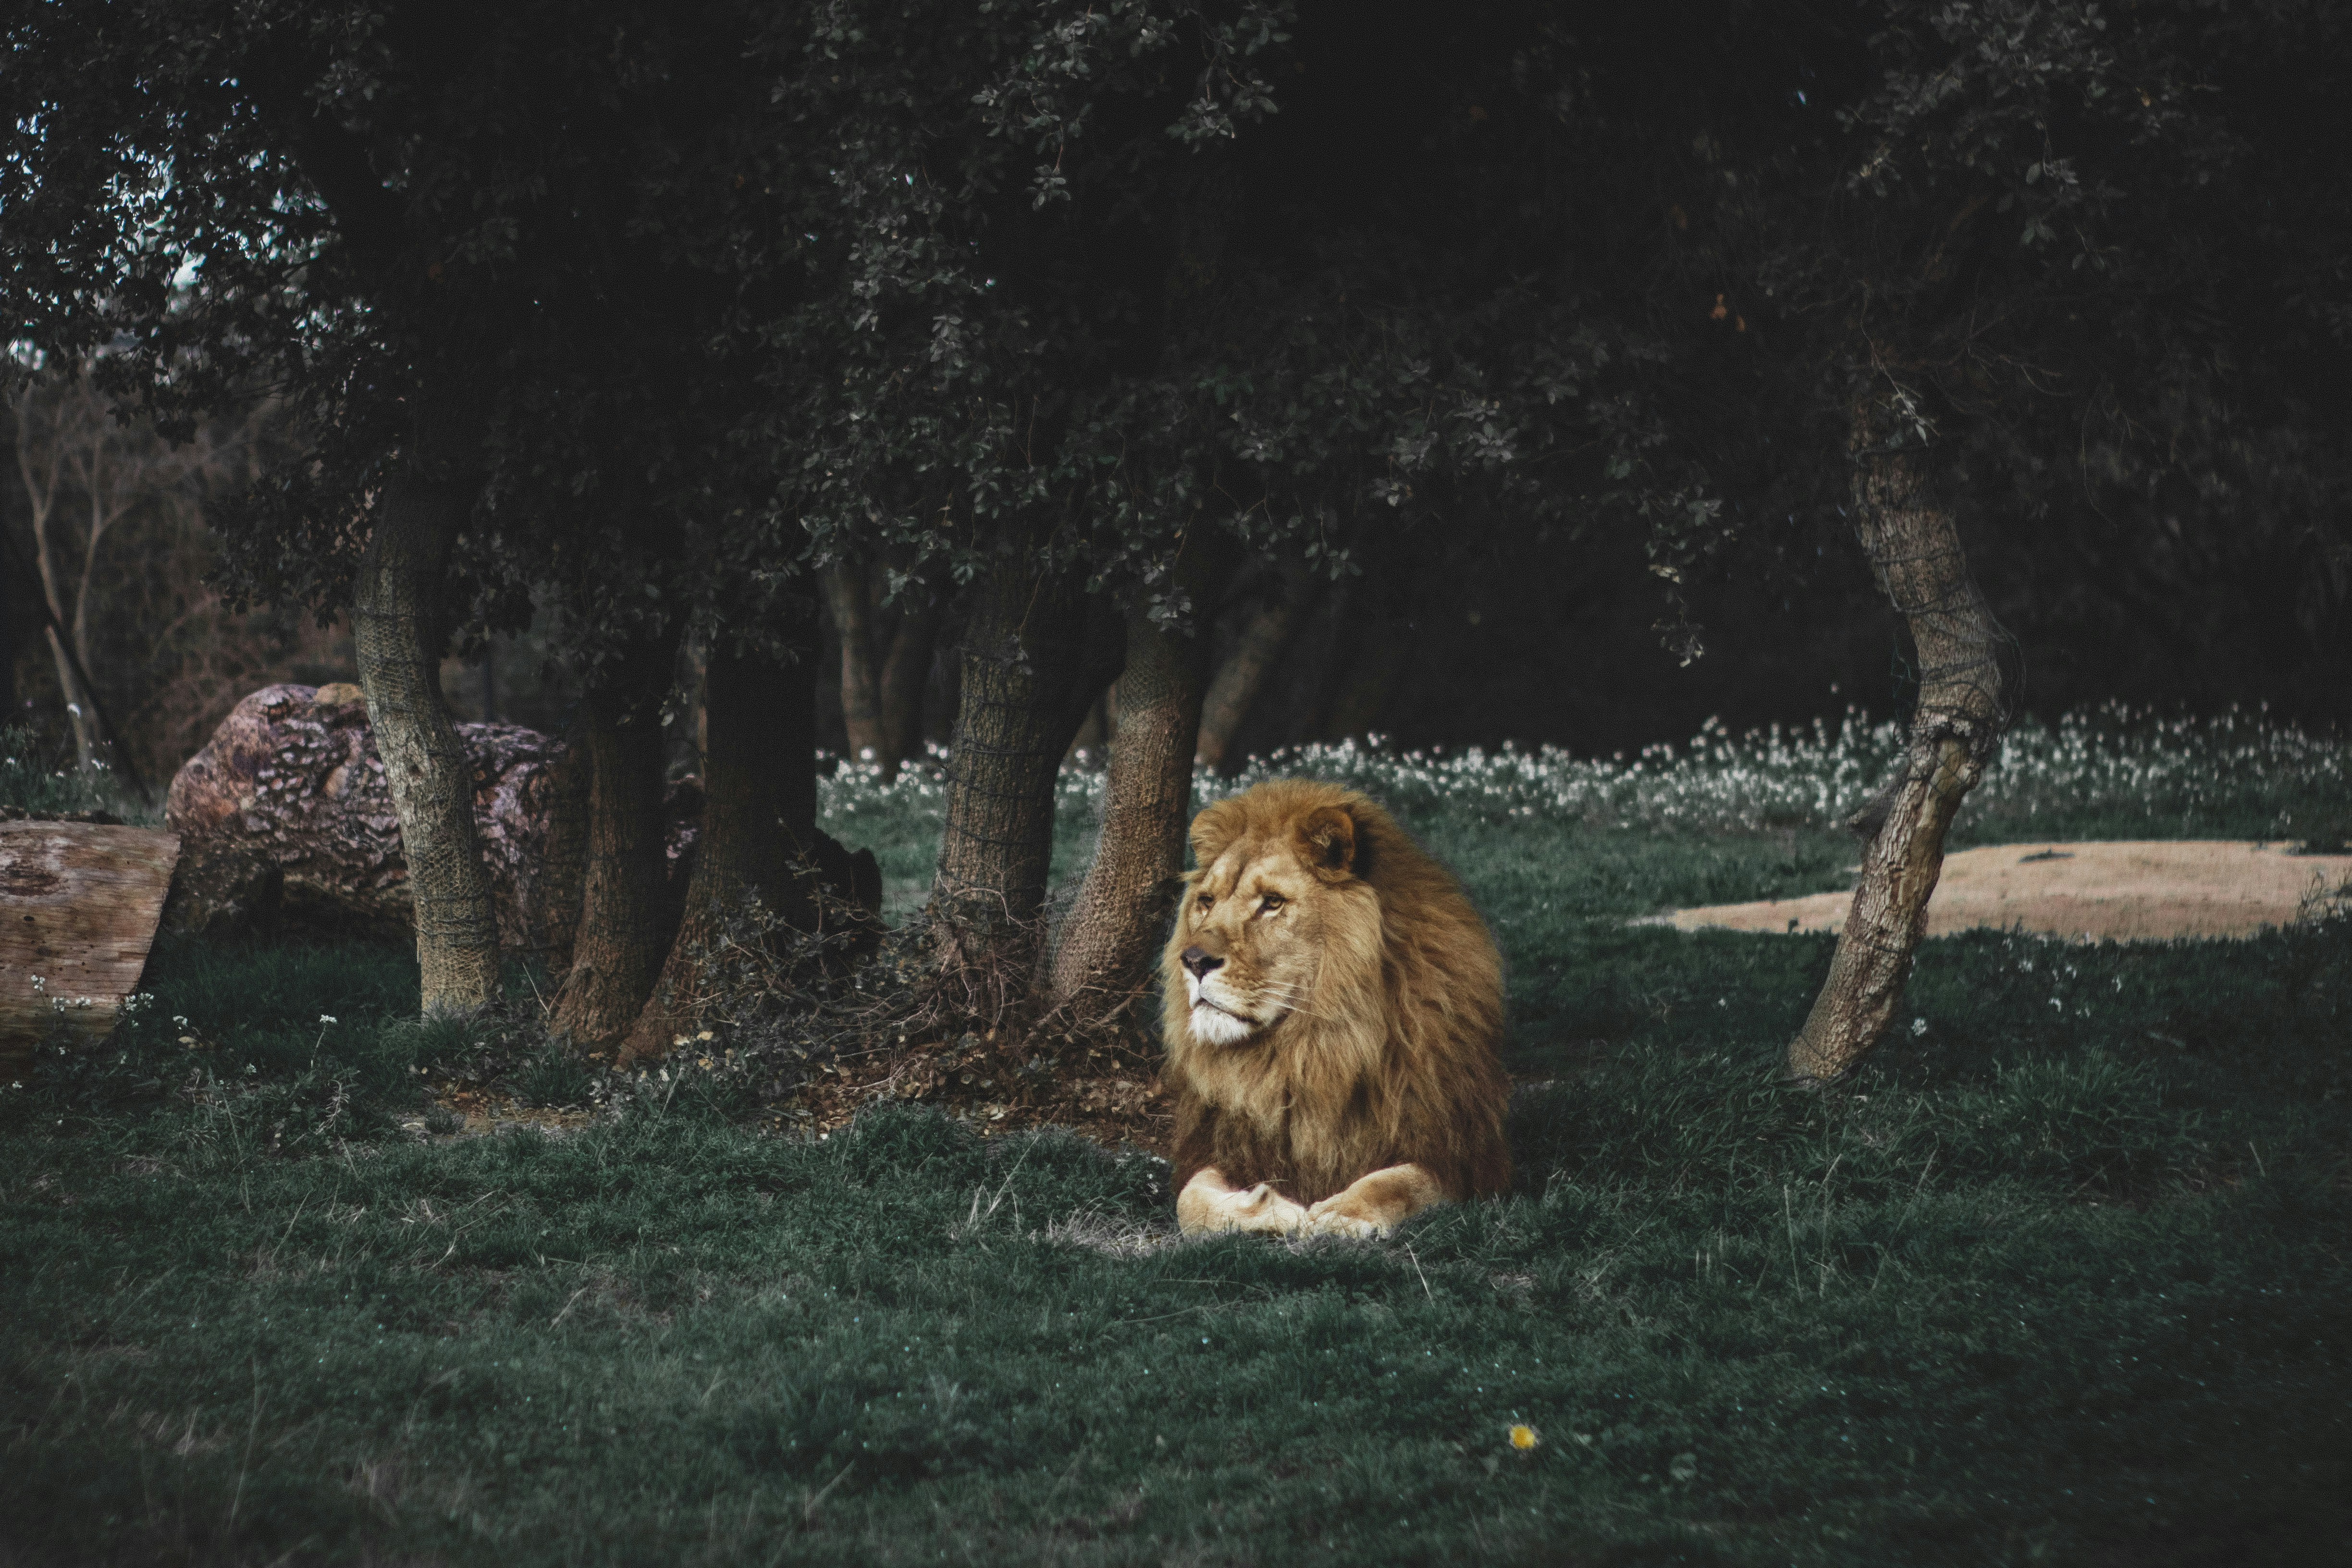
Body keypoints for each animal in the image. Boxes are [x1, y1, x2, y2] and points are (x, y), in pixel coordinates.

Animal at [1161, 779, 1512, 1238]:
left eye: (1272, 902)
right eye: (1206, 901)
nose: (1193, 960)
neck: (1307, 1049)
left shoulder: (1460, 1155)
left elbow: (1398, 1182)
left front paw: (1343, 1213)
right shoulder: (1218, 1146)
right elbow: (1190, 1200)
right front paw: (1270, 1208)